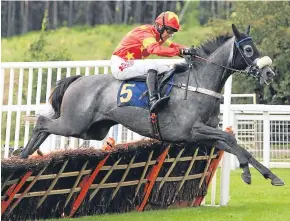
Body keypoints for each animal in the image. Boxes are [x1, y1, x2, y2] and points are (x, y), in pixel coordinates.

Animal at [20, 24, 286, 186]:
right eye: (249, 49)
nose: (269, 73)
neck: (198, 84)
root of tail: (77, 80)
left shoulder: (204, 134)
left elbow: (237, 146)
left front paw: (270, 175)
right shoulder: (193, 130)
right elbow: (231, 140)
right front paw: (247, 172)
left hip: (92, 131)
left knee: (46, 126)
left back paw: (24, 155)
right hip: (75, 124)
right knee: (42, 122)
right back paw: (22, 156)